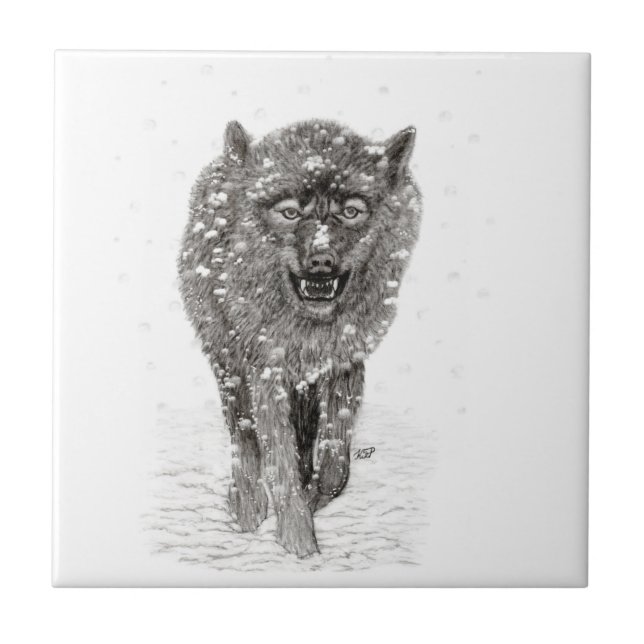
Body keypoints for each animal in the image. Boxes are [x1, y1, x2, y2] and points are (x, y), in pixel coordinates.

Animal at [178, 119, 422, 557]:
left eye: (351, 211)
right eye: (290, 212)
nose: (321, 261)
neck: (309, 330)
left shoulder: (344, 363)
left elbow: (335, 461)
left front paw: (310, 501)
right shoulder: (266, 373)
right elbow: (279, 460)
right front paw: (297, 541)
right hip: (229, 366)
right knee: (243, 437)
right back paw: (246, 505)